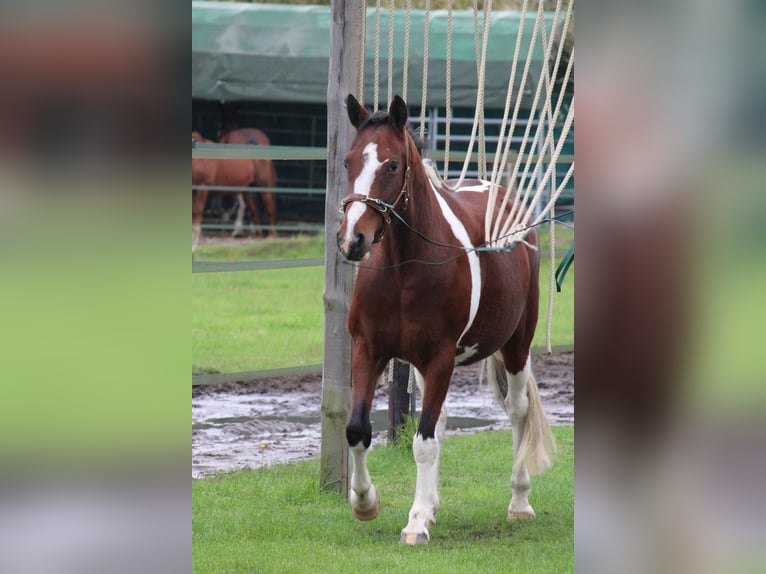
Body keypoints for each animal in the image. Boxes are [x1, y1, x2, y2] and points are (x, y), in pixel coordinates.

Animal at [336, 95, 556, 545]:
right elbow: (358, 430)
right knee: (439, 423)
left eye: (392, 165)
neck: (405, 269)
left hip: (517, 347)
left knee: (518, 411)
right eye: (349, 161)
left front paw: (416, 522)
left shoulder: (440, 358)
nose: (353, 240)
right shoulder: (369, 350)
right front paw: (365, 502)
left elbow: (423, 442)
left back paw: (519, 502)